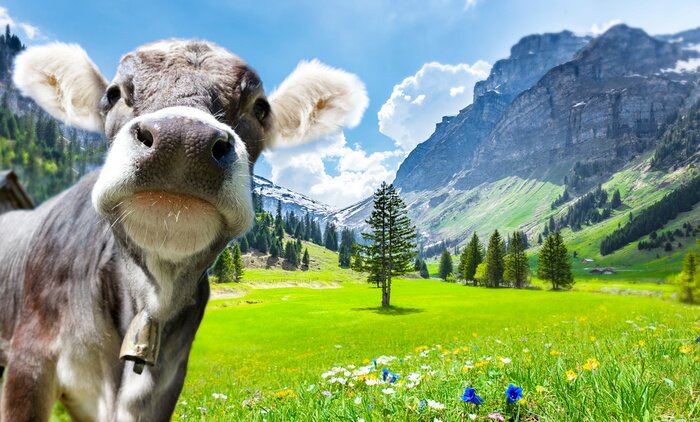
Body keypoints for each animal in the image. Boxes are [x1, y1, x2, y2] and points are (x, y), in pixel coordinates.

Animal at [0, 39, 367, 421]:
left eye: (260, 108)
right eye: (113, 94)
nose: (181, 139)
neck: (151, 299)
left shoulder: (165, 383)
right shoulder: (30, 357)